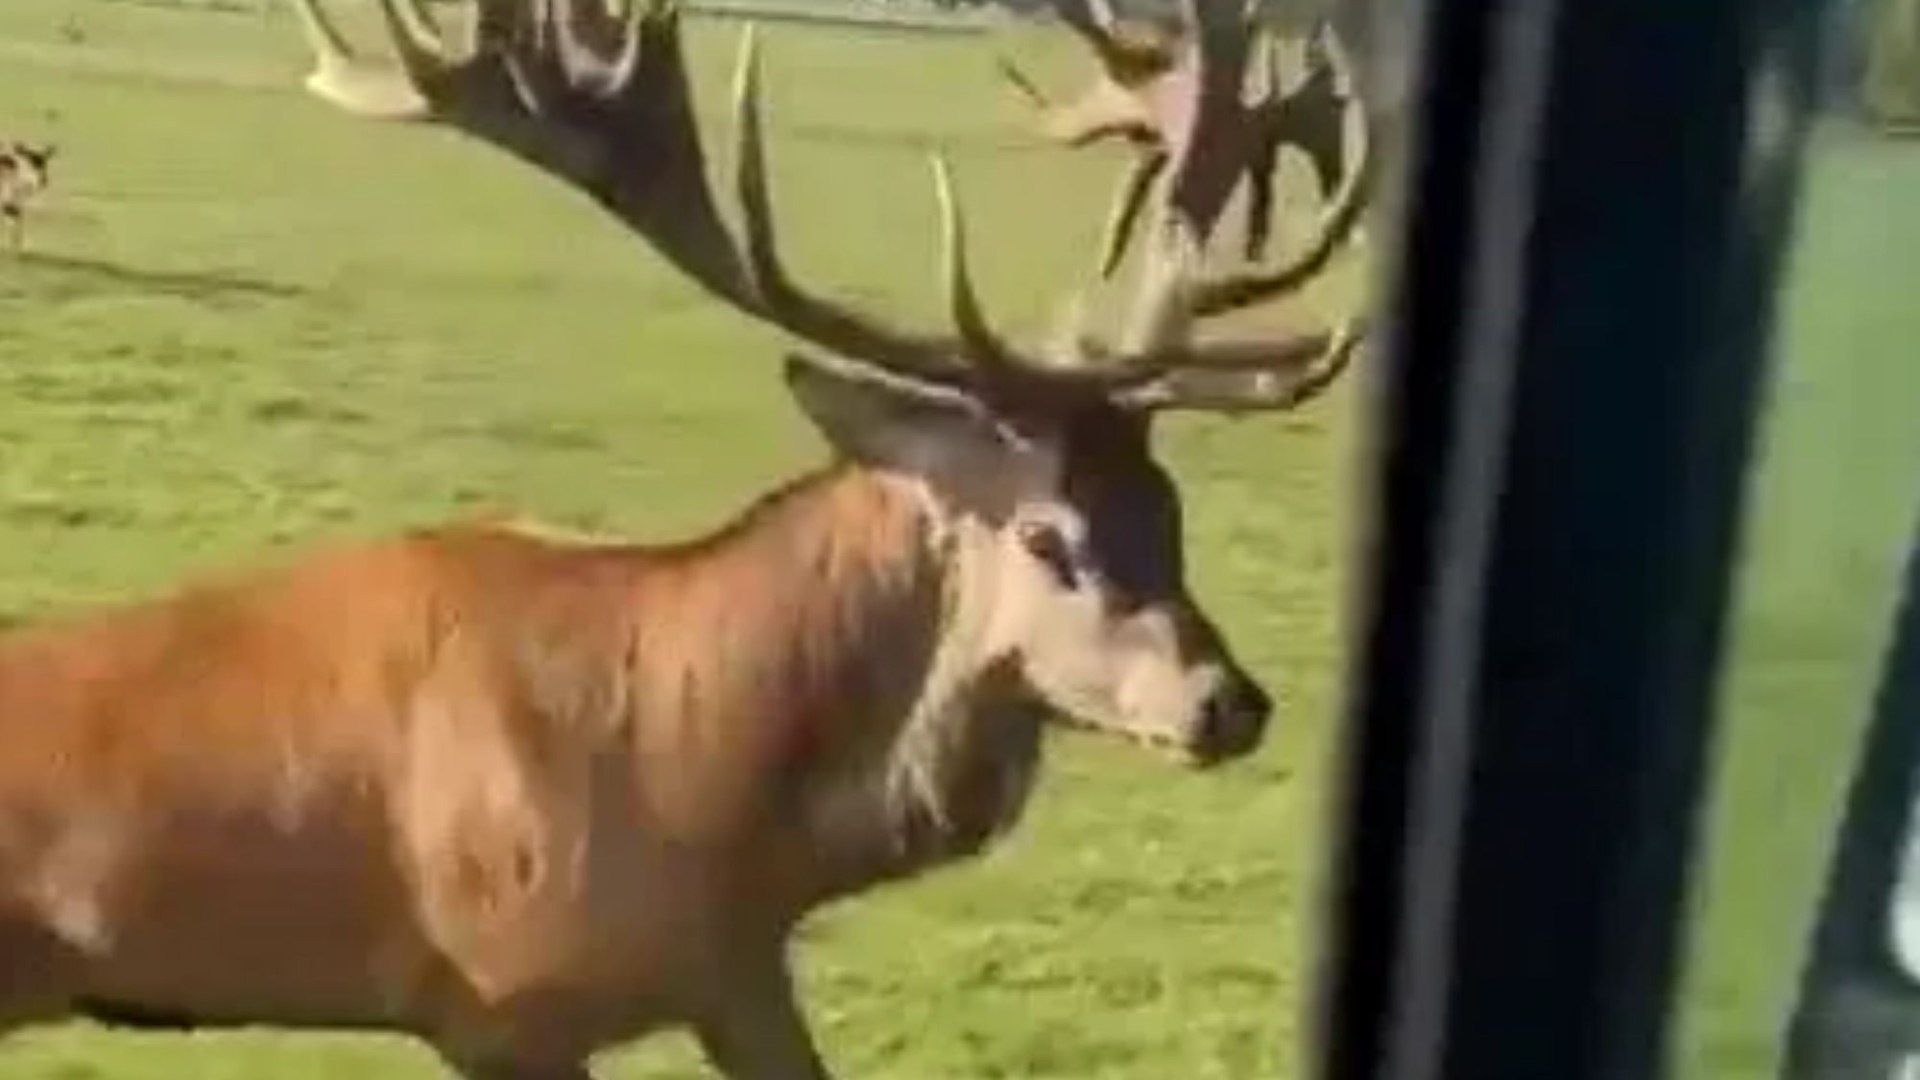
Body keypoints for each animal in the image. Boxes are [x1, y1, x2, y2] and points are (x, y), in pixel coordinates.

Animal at [0, 0, 1382, 1068]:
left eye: (1171, 510)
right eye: (1049, 536)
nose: (1227, 702)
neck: (709, 802)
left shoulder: (739, 974)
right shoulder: (506, 998)